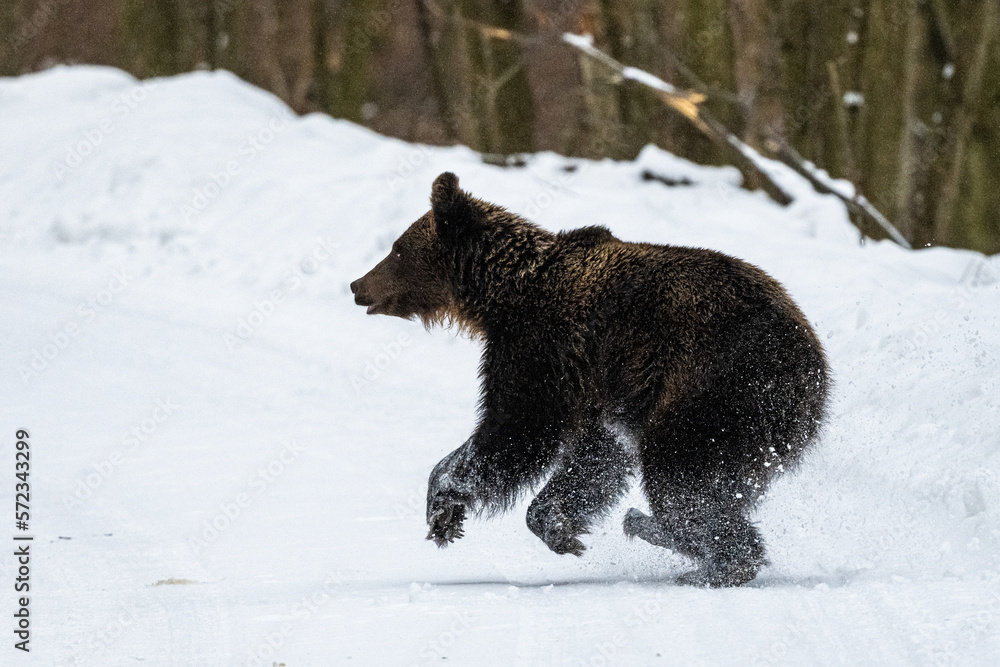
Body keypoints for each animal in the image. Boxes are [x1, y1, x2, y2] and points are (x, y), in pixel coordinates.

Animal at [351, 172, 829, 587]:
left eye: (396, 249)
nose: (357, 285)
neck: (503, 296)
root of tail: (810, 363)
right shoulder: (599, 388)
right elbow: (595, 458)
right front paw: (561, 527)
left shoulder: (540, 349)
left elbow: (516, 428)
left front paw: (444, 508)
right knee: (713, 490)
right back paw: (666, 535)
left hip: (714, 390)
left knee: (680, 481)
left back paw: (709, 559)